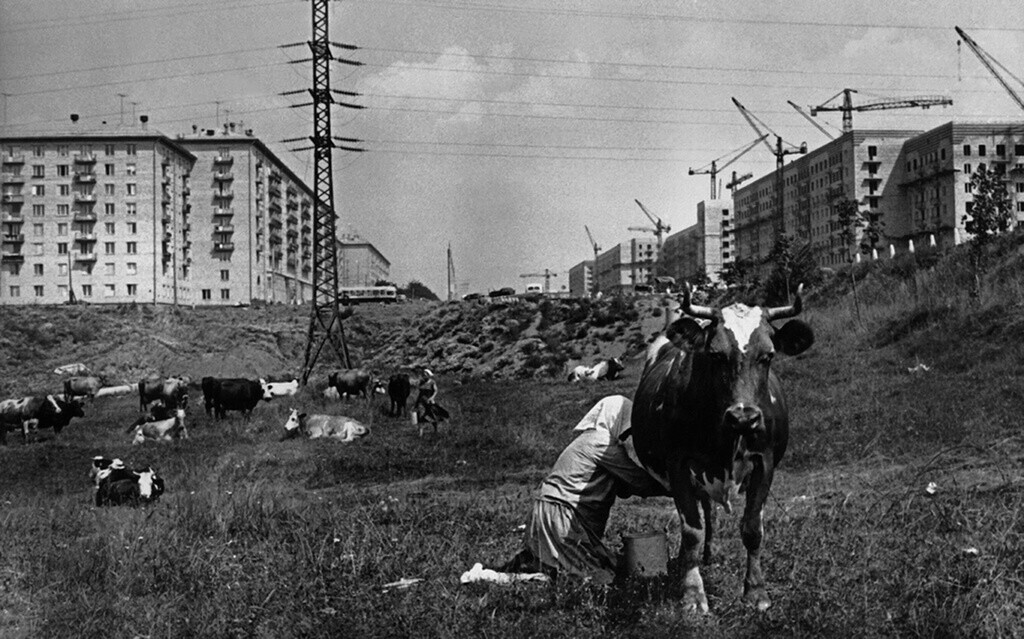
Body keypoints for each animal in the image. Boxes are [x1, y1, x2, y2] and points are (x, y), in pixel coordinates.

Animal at [626, 284, 811, 614]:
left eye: (768, 355)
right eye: (715, 355)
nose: (743, 417)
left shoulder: (765, 462)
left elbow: (752, 528)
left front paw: (756, 591)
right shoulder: (678, 464)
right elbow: (692, 531)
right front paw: (692, 593)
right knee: (705, 514)